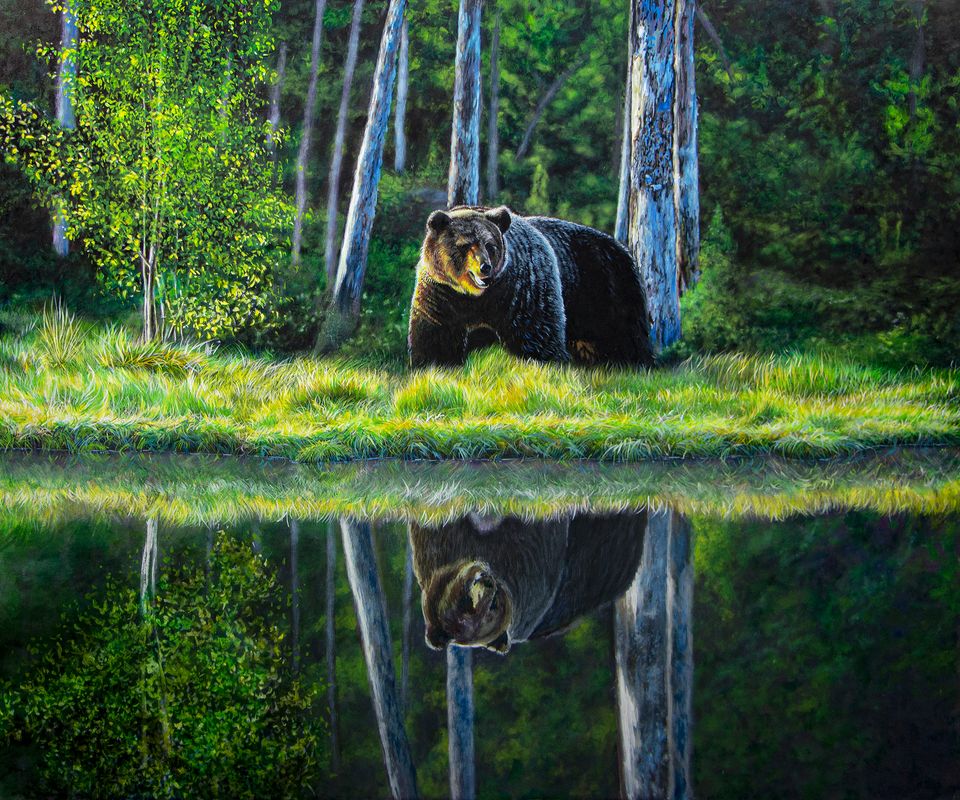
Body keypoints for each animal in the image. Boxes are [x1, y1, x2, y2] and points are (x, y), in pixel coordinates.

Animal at [407, 206, 654, 368]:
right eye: (465, 245)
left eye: (490, 245)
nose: (485, 268)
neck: (476, 297)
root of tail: (619, 245)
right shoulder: (441, 294)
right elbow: (436, 337)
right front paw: (435, 363)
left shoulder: (521, 288)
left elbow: (536, 335)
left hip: (609, 285)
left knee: (625, 333)